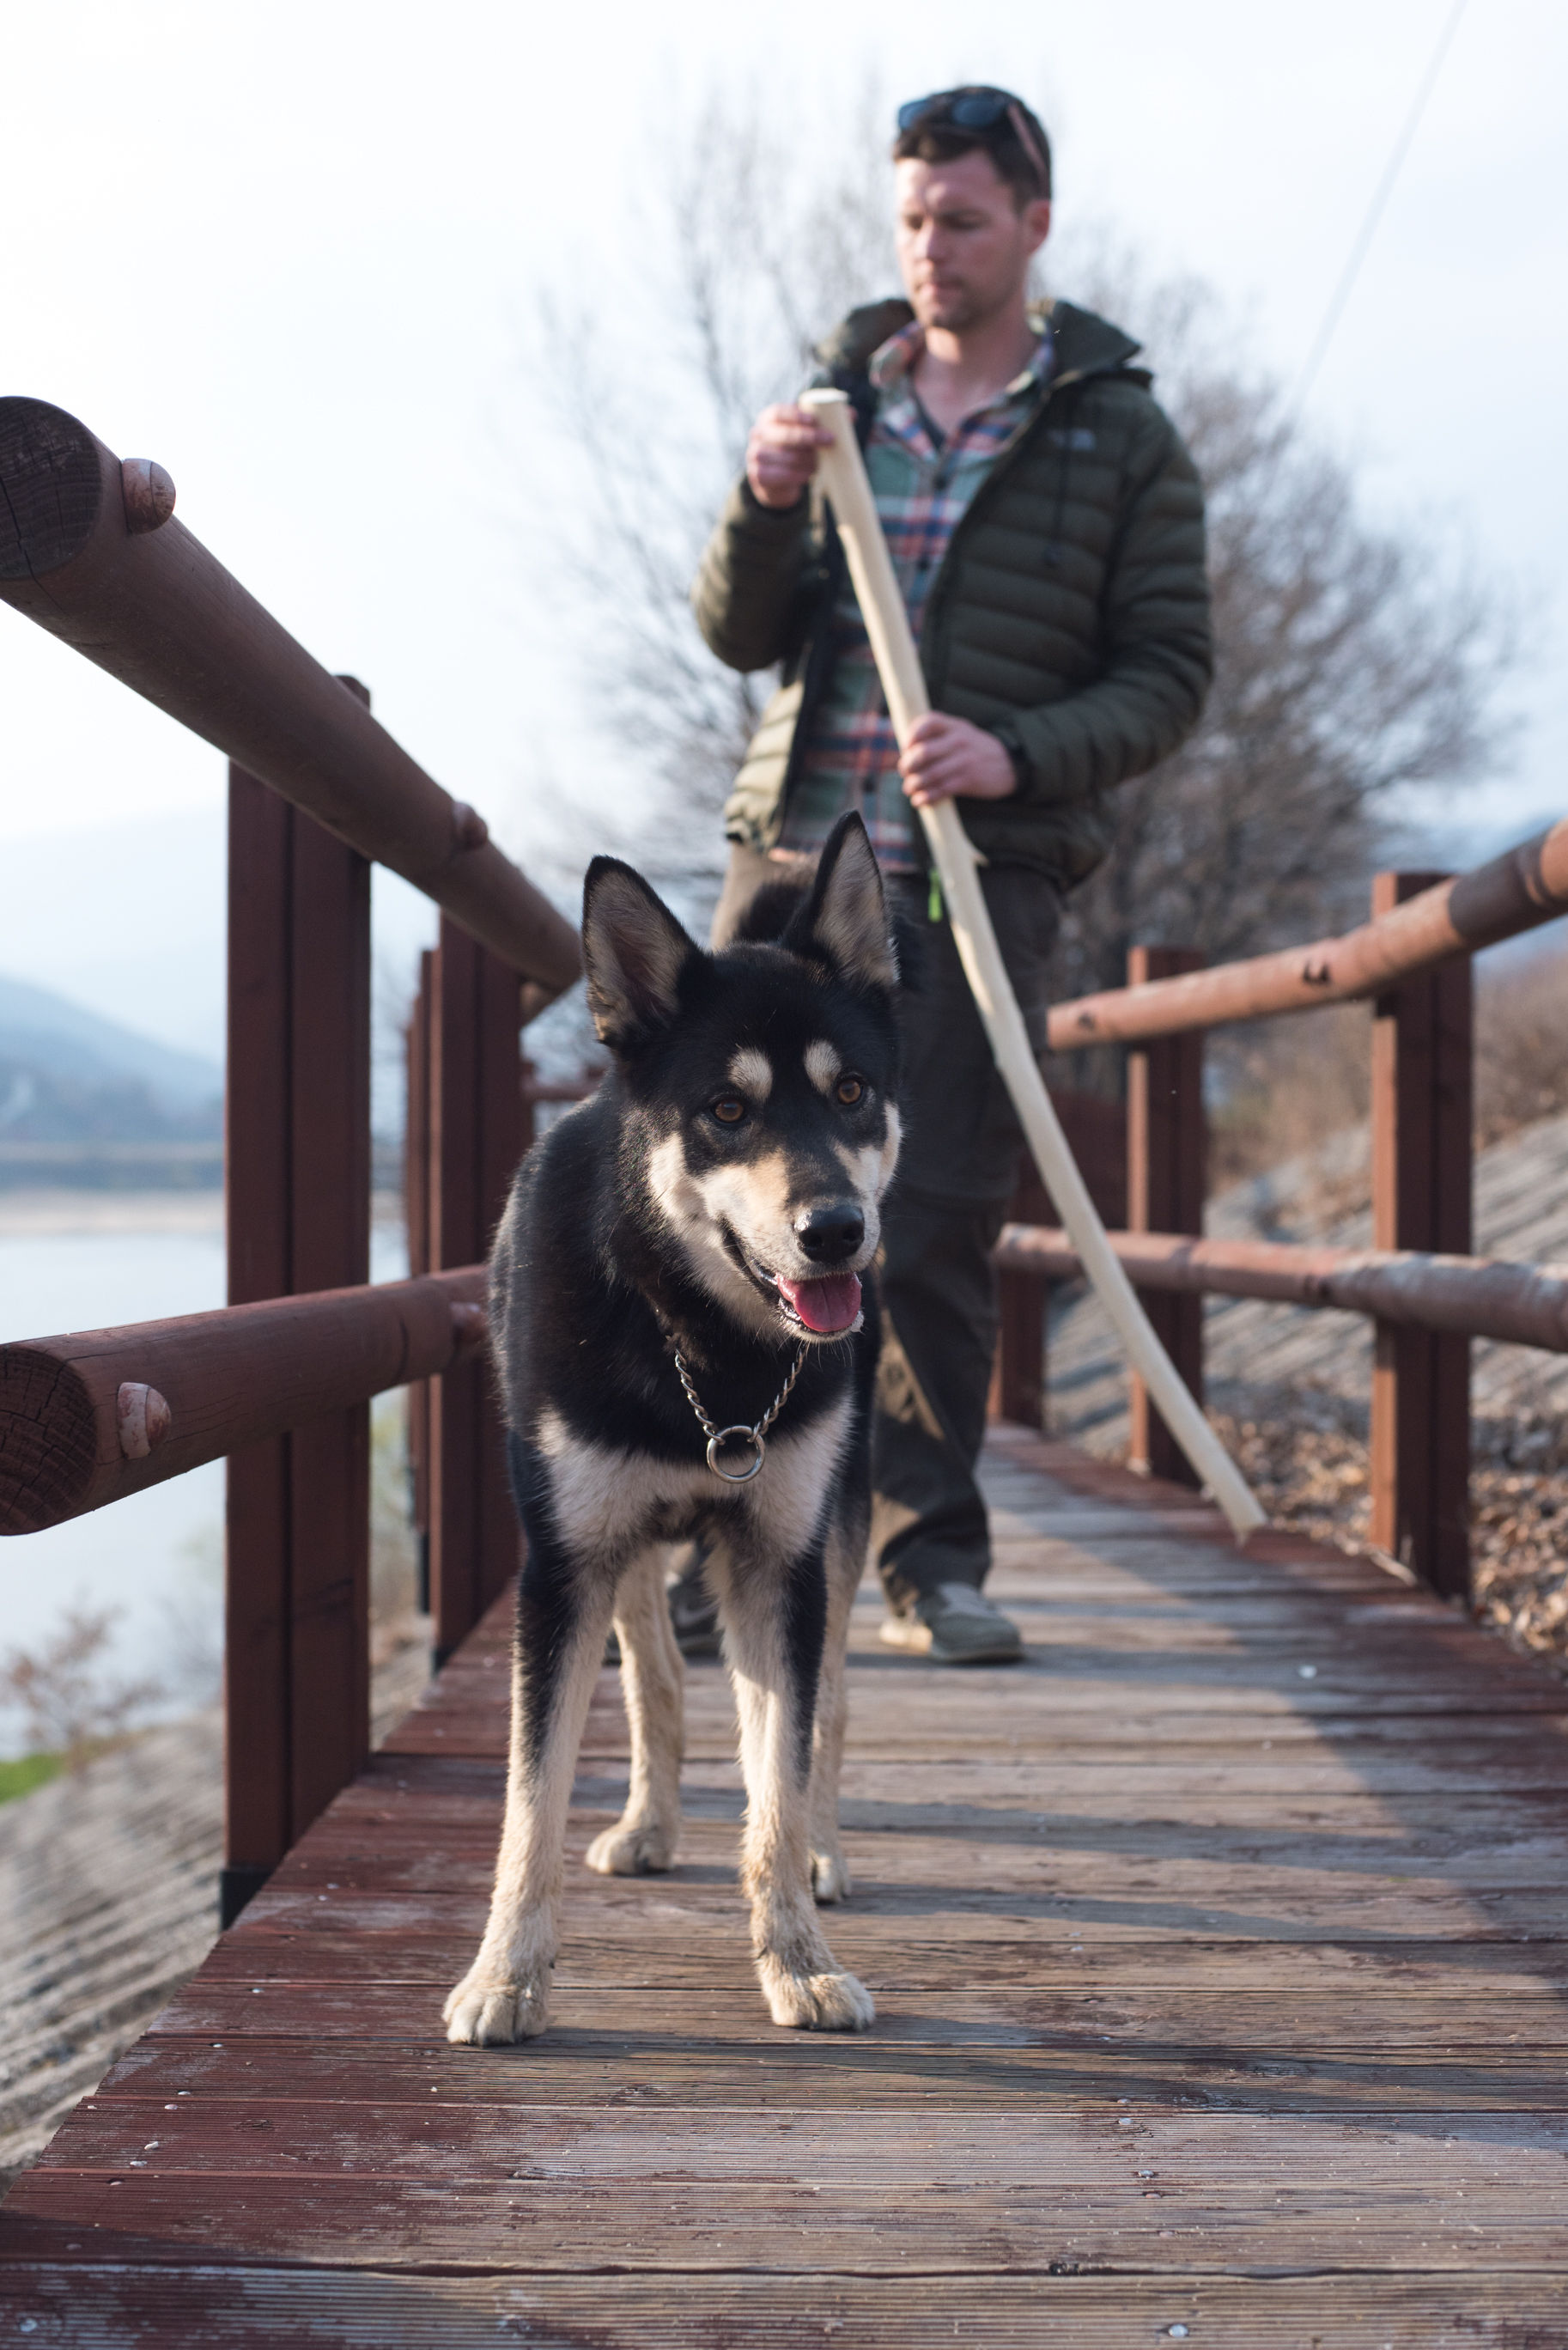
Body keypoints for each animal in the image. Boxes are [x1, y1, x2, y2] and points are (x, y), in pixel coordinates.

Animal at [444, 808, 907, 2039]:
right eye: (728, 1112)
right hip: (621, 1544)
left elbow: (780, 1774)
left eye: (851, 1093)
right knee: (653, 1676)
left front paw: (795, 1959)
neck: (700, 1345)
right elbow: (531, 1798)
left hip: (832, 1525)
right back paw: (649, 1825)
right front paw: (504, 1974)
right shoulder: (563, 1563)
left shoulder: (778, 1561)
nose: (836, 1231)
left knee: (830, 1704)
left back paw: (825, 1849)